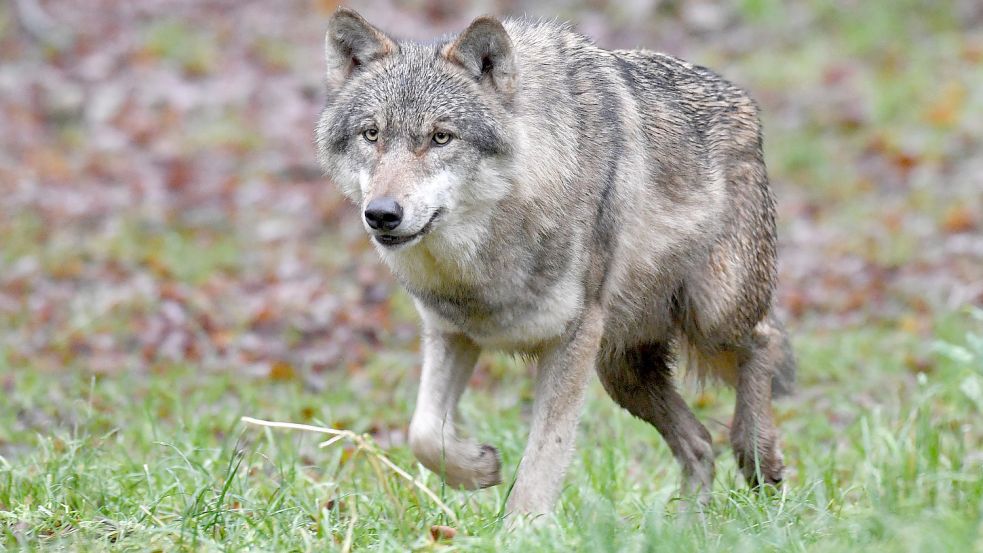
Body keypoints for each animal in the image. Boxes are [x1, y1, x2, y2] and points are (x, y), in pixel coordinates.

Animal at [316, 8, 796, 516]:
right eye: (372, 134)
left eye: (441, 137)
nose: (382, 214)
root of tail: (743, 99)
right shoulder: (451, 331)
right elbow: (423, 433)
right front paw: (480, 468)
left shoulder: (573, 338)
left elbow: (545, 454)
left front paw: (523, 524)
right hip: (623, 373)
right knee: (701, 442)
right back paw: (686, 522)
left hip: (711, 316)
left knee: (765, 341)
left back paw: (758, 454)